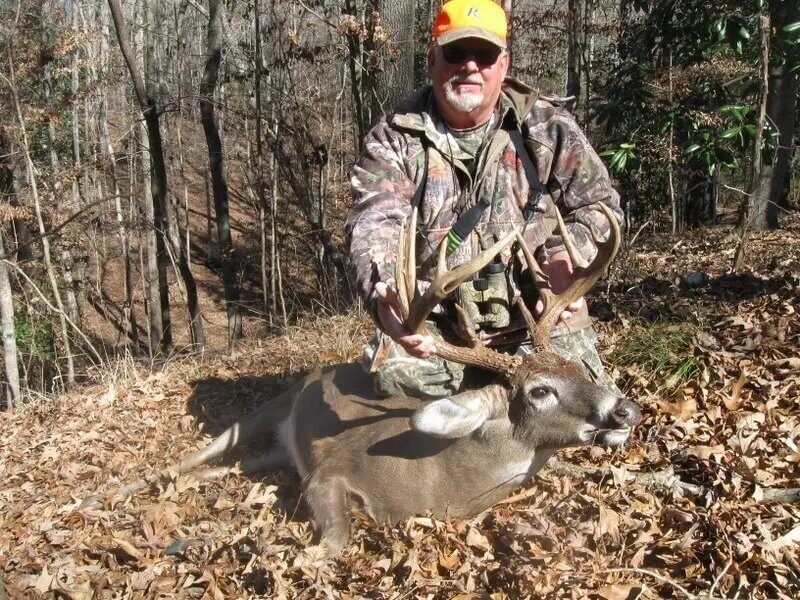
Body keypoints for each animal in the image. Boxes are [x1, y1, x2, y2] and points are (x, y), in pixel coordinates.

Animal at [83, 202, 641, 558]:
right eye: (539, 390)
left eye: (581, 369)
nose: (626, 410)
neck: (442, 479)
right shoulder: (329, 472)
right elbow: (332, 544)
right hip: (265, 411)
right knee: (189, 459)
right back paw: (95, 499)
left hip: (274, 451)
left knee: (219, 470)